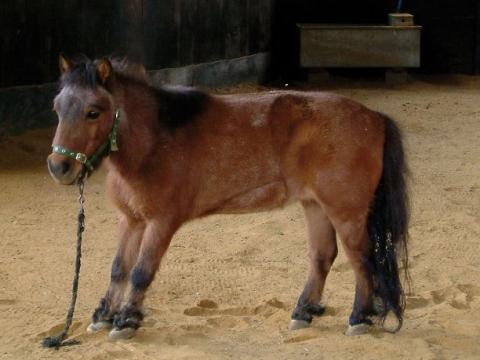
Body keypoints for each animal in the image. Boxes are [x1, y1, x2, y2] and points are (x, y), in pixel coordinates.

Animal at [47, 55, 408, 340]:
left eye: (94, 112)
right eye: (57, 108)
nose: (59, 166)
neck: (156, 141)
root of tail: (374, 118)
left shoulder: (161, 223)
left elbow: (140, 271)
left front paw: (125, 321)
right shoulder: (131, 220)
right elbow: (119, 269)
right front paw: (103, 316)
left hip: (346, 212)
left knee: (361, 258)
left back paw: (358, 318)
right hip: (315, 205)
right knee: (323, 255)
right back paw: (303, 312)